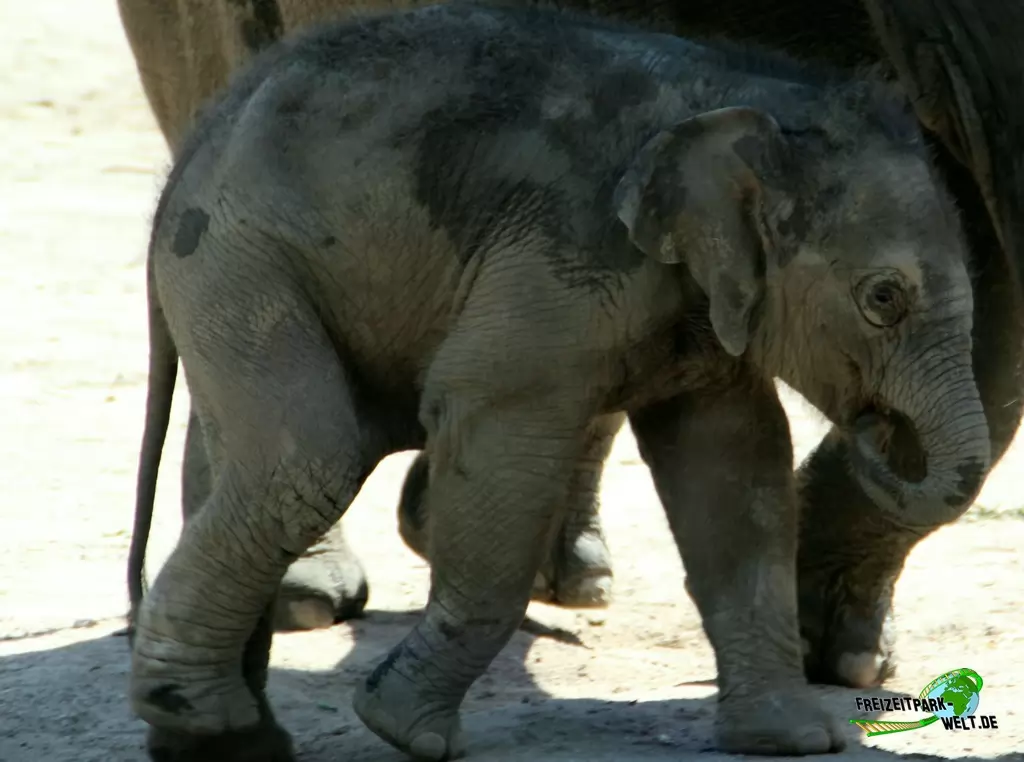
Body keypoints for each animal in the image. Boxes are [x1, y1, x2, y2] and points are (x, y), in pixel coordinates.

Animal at [127, 5, 992, 760]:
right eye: (884, 299)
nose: (879, 426)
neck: (746, 96)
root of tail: (190, 152)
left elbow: (737, 474)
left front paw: (797, 741)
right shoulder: (562, 257)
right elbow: (493, 428)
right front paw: (406, 732)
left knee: (241, 466)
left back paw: (221, 739)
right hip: (240, 256)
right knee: (307, 459)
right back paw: (210, 723)